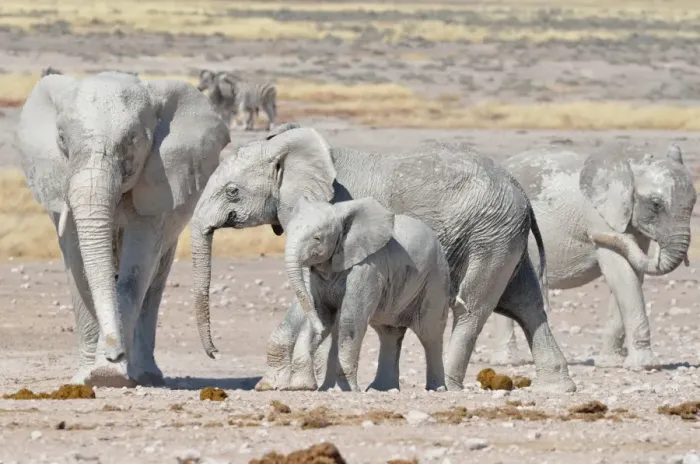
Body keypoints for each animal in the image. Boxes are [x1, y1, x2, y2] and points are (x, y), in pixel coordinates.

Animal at [15, 71, 230, 387]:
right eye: (62, 139)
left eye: (132, 141)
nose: (114, 353)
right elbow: (77, 265)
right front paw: (88, 377)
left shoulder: (158, 182)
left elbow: (136, 268)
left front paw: (111, 374)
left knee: (155, 281)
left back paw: (147, 375)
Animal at [190, 122, 576, 393]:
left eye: (232, 191)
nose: (215, 353)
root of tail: (521, 190)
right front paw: (277, 384)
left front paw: (280, 384)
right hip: (505, 236)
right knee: (526, 303)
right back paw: (558, 388)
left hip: (489, 237)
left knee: (472, 308)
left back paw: (448, 386)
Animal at [490, 144, 696, 370]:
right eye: (656, 204)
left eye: (694, 202)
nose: (591, 237)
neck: (631, 162)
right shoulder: (600, 219)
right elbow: (621, 272)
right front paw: (644, 366)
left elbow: (632, 274)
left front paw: (611, 363)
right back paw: (508, 362)